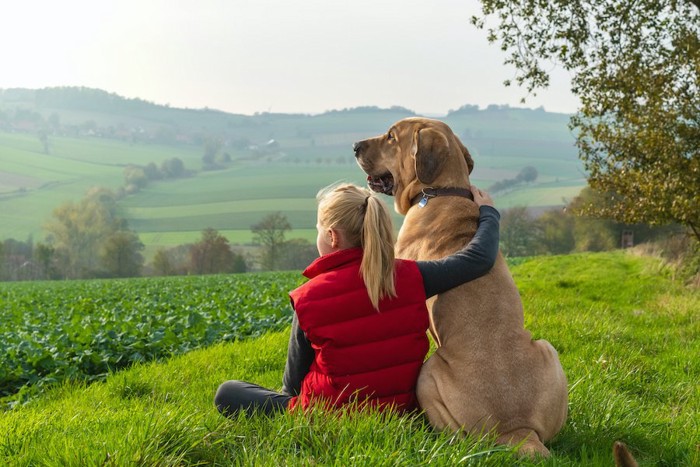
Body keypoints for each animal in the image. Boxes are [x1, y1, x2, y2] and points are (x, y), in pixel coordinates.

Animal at [356, 117, 568, 458]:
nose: (355, 146)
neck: (439, 190)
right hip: (549, 348)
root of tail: (519, 431)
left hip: (428, 373)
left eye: (391, 137)